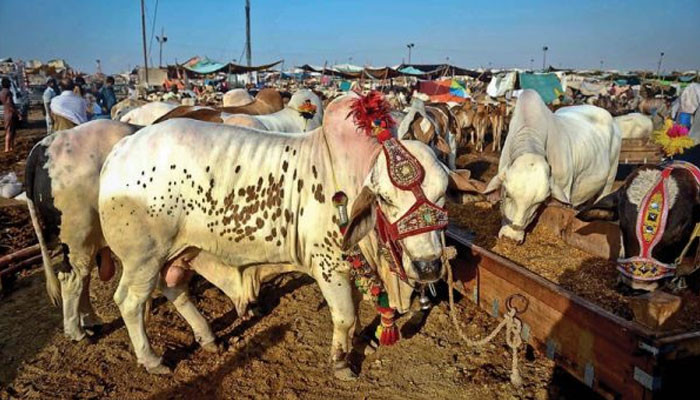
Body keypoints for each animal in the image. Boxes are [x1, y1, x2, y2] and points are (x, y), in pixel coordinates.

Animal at [24, 119, 141, 340]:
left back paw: (90, 321)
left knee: (83, 277)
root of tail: (44, 145)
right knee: (72, 277)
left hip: (86, 240)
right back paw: (76, 332)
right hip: (78, 235)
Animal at [100, 93, 460, 378]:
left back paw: (209, 338)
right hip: (142, 257)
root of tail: (120, 149)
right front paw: (341, 362)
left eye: (442, 194)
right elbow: (345, 317)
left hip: (175, 252)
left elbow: (357, 314)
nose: (429, 267)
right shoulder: (329, 267)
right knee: (130, 302)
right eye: (384, 198)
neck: (351, 172)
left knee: (174, 288)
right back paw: (153, 360)